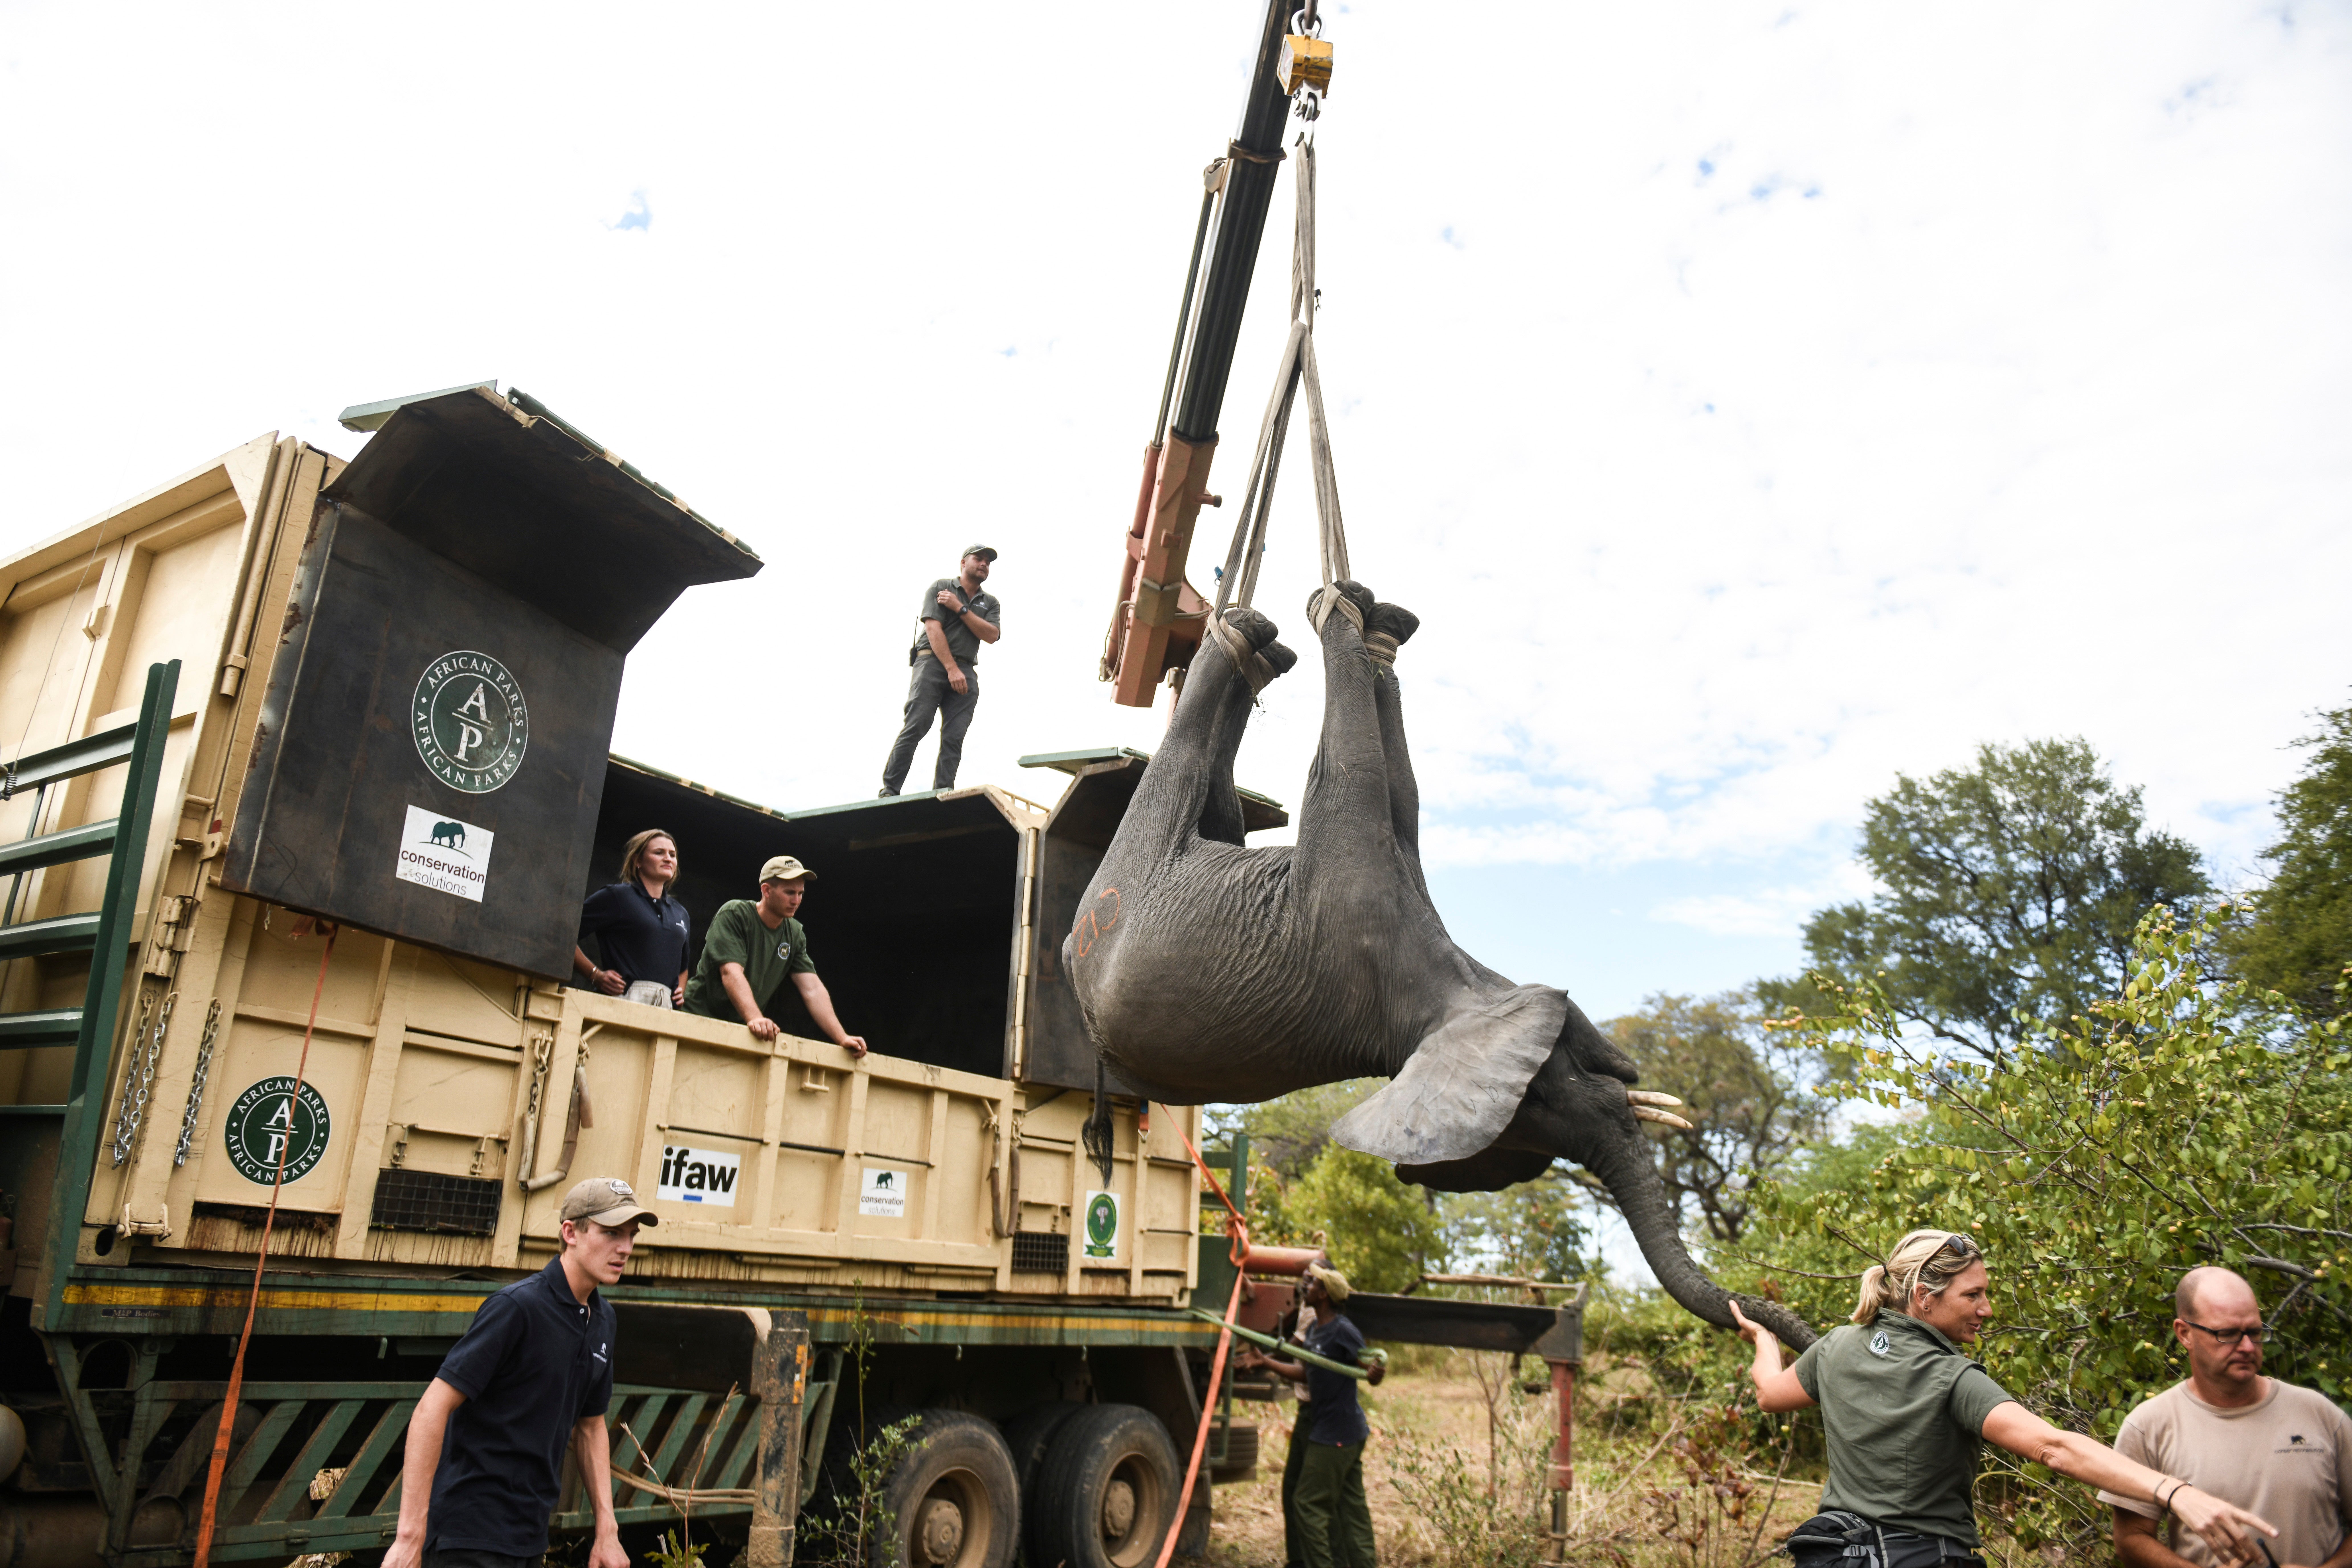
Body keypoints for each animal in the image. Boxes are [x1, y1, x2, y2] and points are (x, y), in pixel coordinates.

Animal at [1063, 579, 1817, 1350]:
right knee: (1179, 763)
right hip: (1123, 879)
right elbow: (1357, 769)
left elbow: (1402, 783)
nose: (1785, 1339)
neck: (1449, 988)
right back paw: (1248, 632)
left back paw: (1260, 643)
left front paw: (1378, 628)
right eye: (1546, 1098)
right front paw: (1341, 610)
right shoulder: (1352, 895)